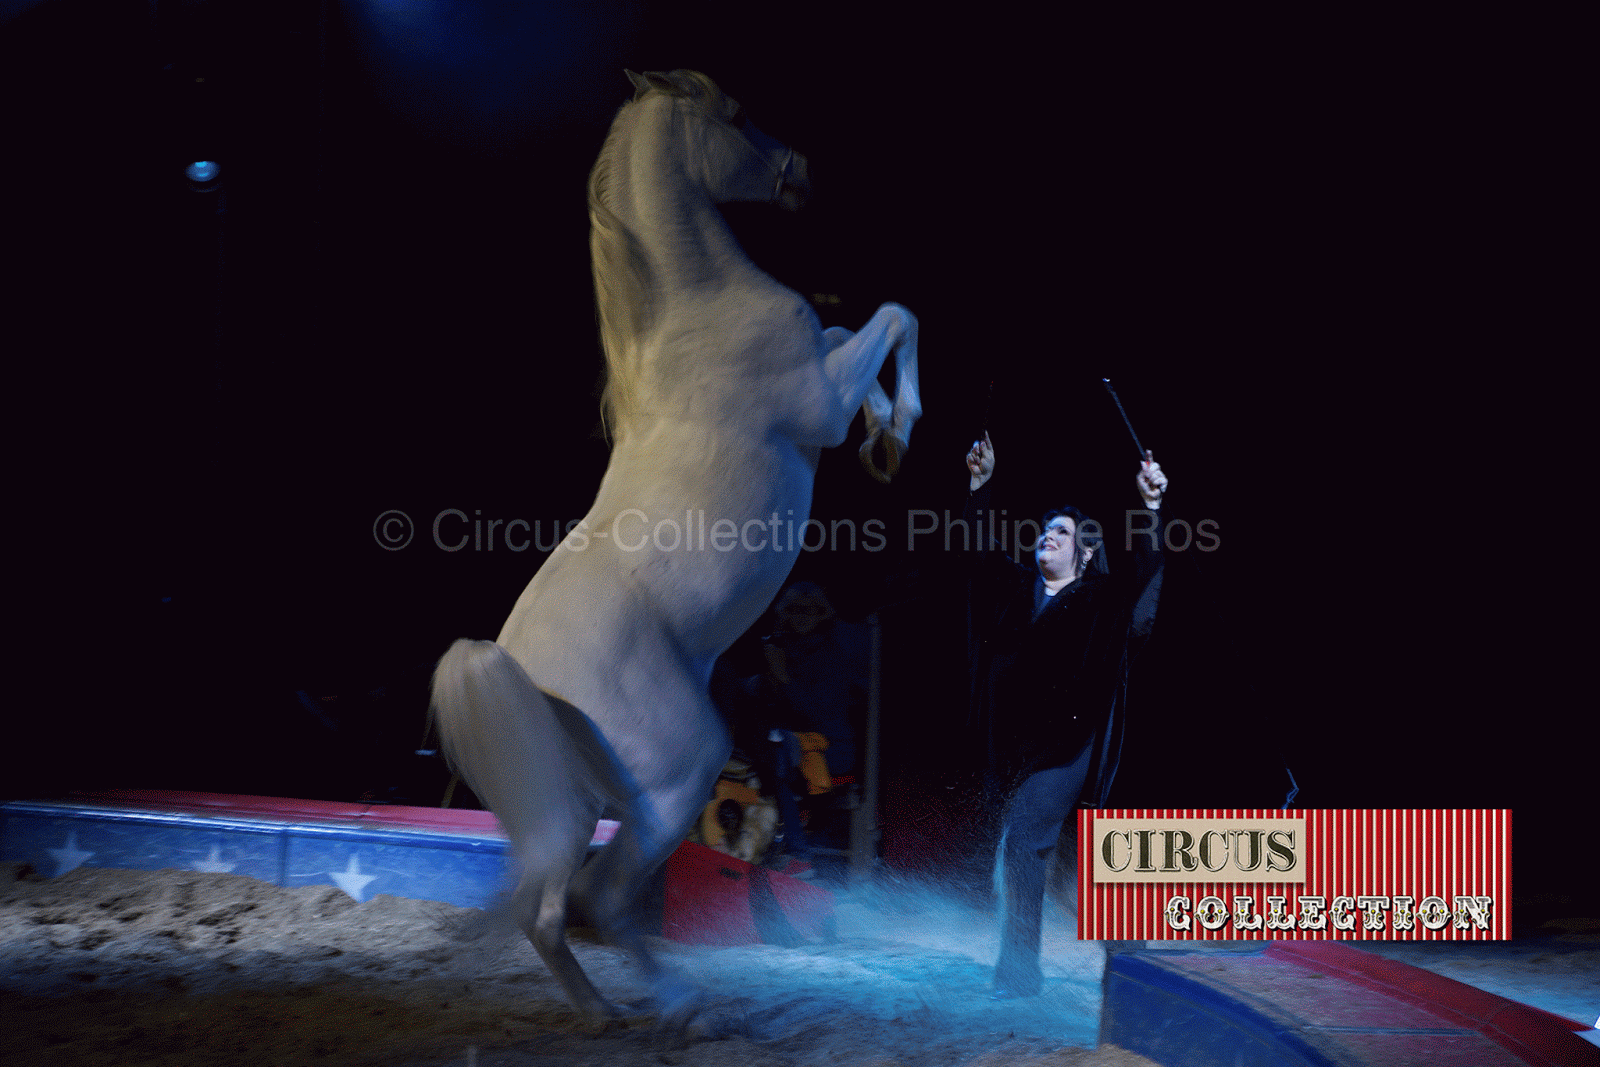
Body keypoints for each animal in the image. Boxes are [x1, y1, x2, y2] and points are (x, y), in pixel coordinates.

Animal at [432, 68, 921, 1036]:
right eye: (738, 115)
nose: (801, 169)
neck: (703, 310)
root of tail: (512, 662)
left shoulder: (823, 377)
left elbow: (852, 330)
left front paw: (886, 436)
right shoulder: (817, 400)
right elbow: (890, 317)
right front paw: (904, 425)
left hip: (577, 800)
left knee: (552, 909)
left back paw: (605, 1011)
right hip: (679, 771)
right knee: (602, 899)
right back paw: (684, 1003)